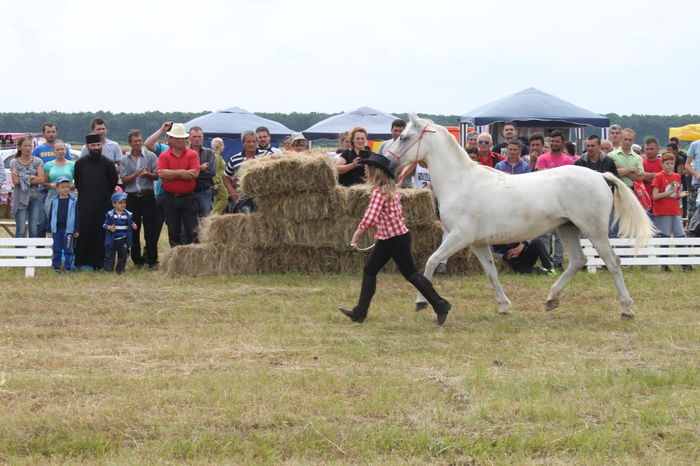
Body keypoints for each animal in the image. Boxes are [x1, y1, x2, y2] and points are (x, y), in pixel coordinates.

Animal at [386, 114, 655, 319]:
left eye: (404, 137)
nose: (387, 163)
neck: (460, 182)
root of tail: (600, 176)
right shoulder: (476, 243)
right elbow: (491, 272)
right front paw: (504, 306)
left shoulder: (458, 237)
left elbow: (430, 262)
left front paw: (421, 302)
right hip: (568, 228)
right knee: (578, 260)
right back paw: (551, 299)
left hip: (594, 230)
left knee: (613, 262)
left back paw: (626, 309)